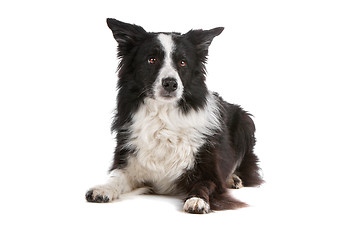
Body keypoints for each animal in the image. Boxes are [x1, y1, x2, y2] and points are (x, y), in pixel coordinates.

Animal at [86, 18, 262, 214]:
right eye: (152, 59)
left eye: (183, 62)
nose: (170, 83)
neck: (163, 117)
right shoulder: (128, 163)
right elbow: (116, 177)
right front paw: (103, 189)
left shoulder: (209, 172)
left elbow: (204, 185)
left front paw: (197, 200)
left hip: (246, 122)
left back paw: (233, 178)